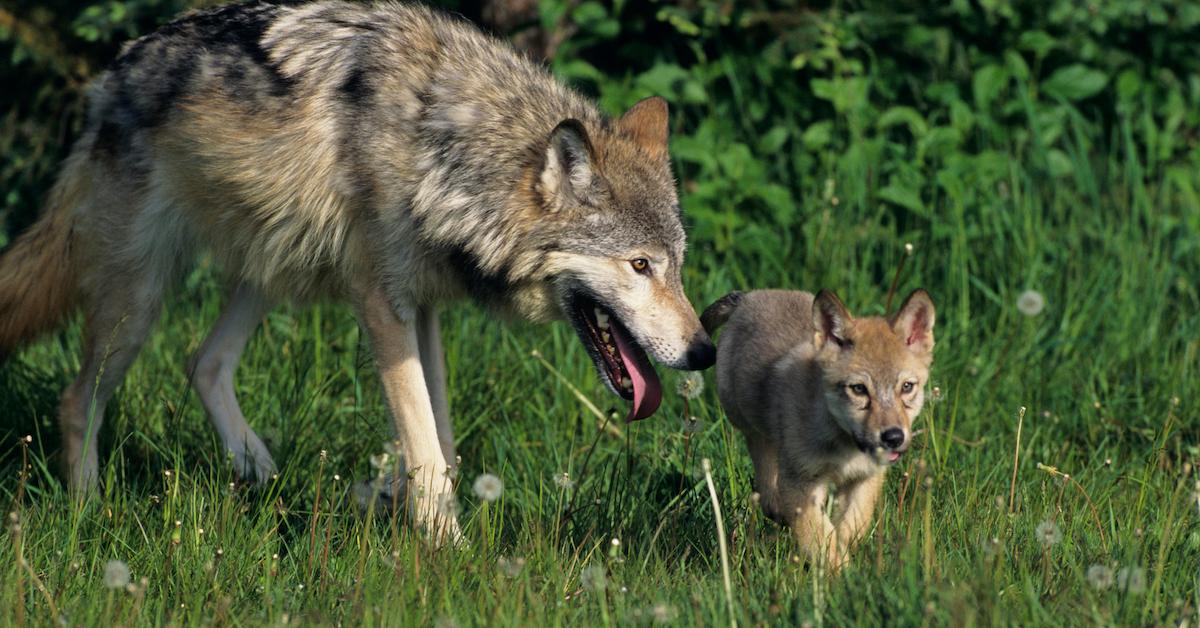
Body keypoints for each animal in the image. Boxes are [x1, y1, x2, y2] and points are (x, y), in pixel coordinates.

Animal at [0, 0, 710, 540]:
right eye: (639, 265)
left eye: (676, 266)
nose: (704, 350)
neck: (443, 151)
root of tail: (110, 77)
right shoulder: (382, 303)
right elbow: (426, 450)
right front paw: (450, 554)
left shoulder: (424, 306)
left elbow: (443, 440)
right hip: (140, 298)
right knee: (78, 399)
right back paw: (89, 513)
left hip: (269, 269)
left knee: (202, 362)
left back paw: (257, 468)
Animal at [700, 289, 936, 569]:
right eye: (859, 389)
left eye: (907, 387)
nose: (893, 437)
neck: (845, 448)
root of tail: (750, 296)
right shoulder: (802, 484)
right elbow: (823, 540)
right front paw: (842, 575)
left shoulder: (865, 479)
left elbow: (850, 529)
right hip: (749, 423)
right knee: (765, 471)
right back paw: (775, 505)